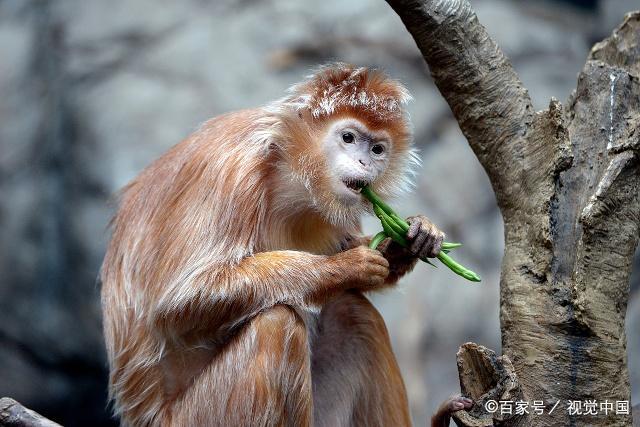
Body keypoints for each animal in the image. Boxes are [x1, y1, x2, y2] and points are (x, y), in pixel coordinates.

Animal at [101, 64, 464, 427]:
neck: (288, 171)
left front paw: (410, 241)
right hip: (198, 416)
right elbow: (181, 302)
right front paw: (344, 267)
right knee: (276, 324)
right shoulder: (233, 170)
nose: (366, 164)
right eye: (348, 138)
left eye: (377, 149)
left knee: (354, 314)